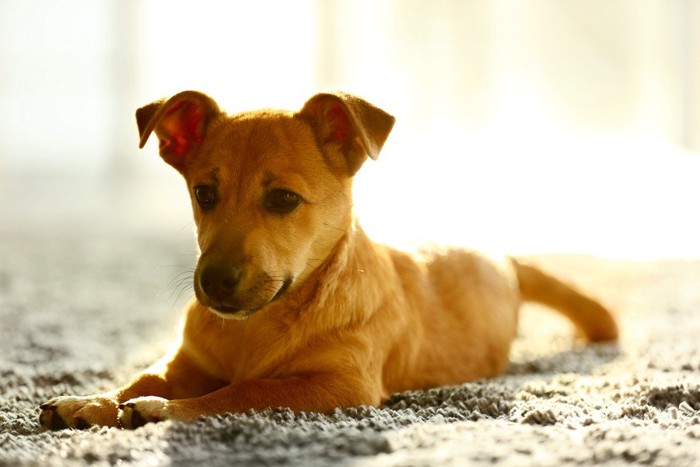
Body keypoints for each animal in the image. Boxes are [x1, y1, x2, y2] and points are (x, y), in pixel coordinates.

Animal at [38, 91, 616, 432]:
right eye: (204, 193)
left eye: (283, 200)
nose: (214, 281)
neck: (260, 323)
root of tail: (503, 257)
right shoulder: (185, 362)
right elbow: (142, 377)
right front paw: (92, 401)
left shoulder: (341, 385)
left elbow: (242, 391)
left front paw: (162, 411)